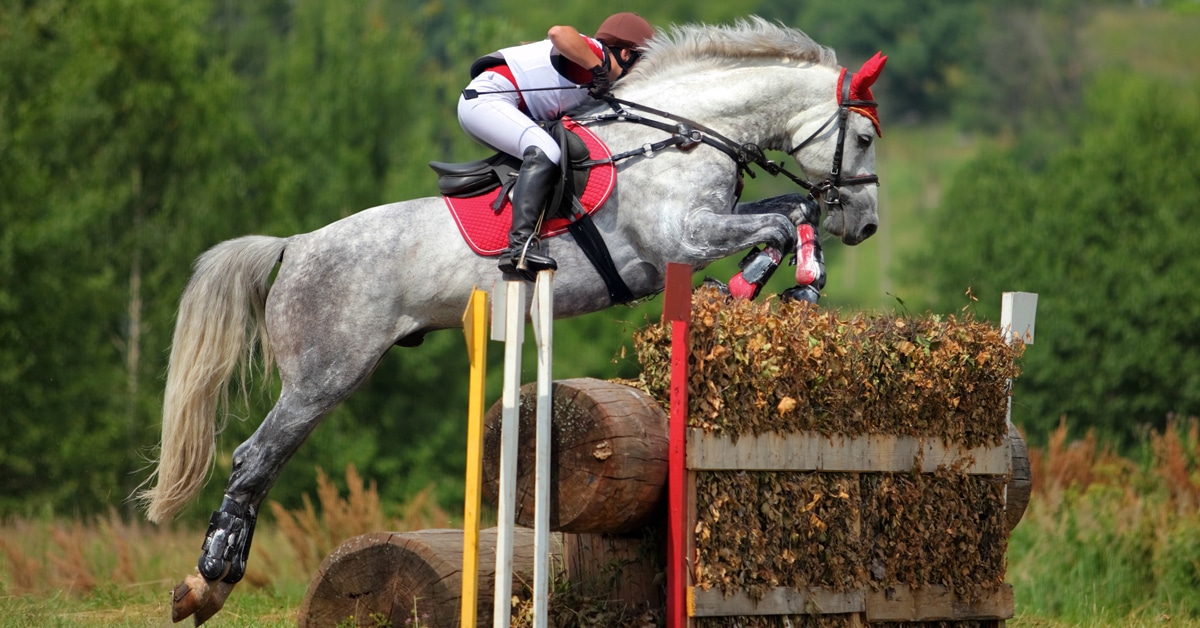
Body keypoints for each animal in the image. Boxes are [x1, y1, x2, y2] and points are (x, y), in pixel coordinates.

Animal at [143, 16, 886, 624]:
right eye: (864, 137)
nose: (867, 226)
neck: (683, 135)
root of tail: (295, 246)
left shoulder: (704, 228)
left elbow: (791, 210)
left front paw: (782, 284)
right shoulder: (679, 238)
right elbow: (783, 218)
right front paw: (769, 282)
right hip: (325, 375)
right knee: (255, 456)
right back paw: (208, 583)